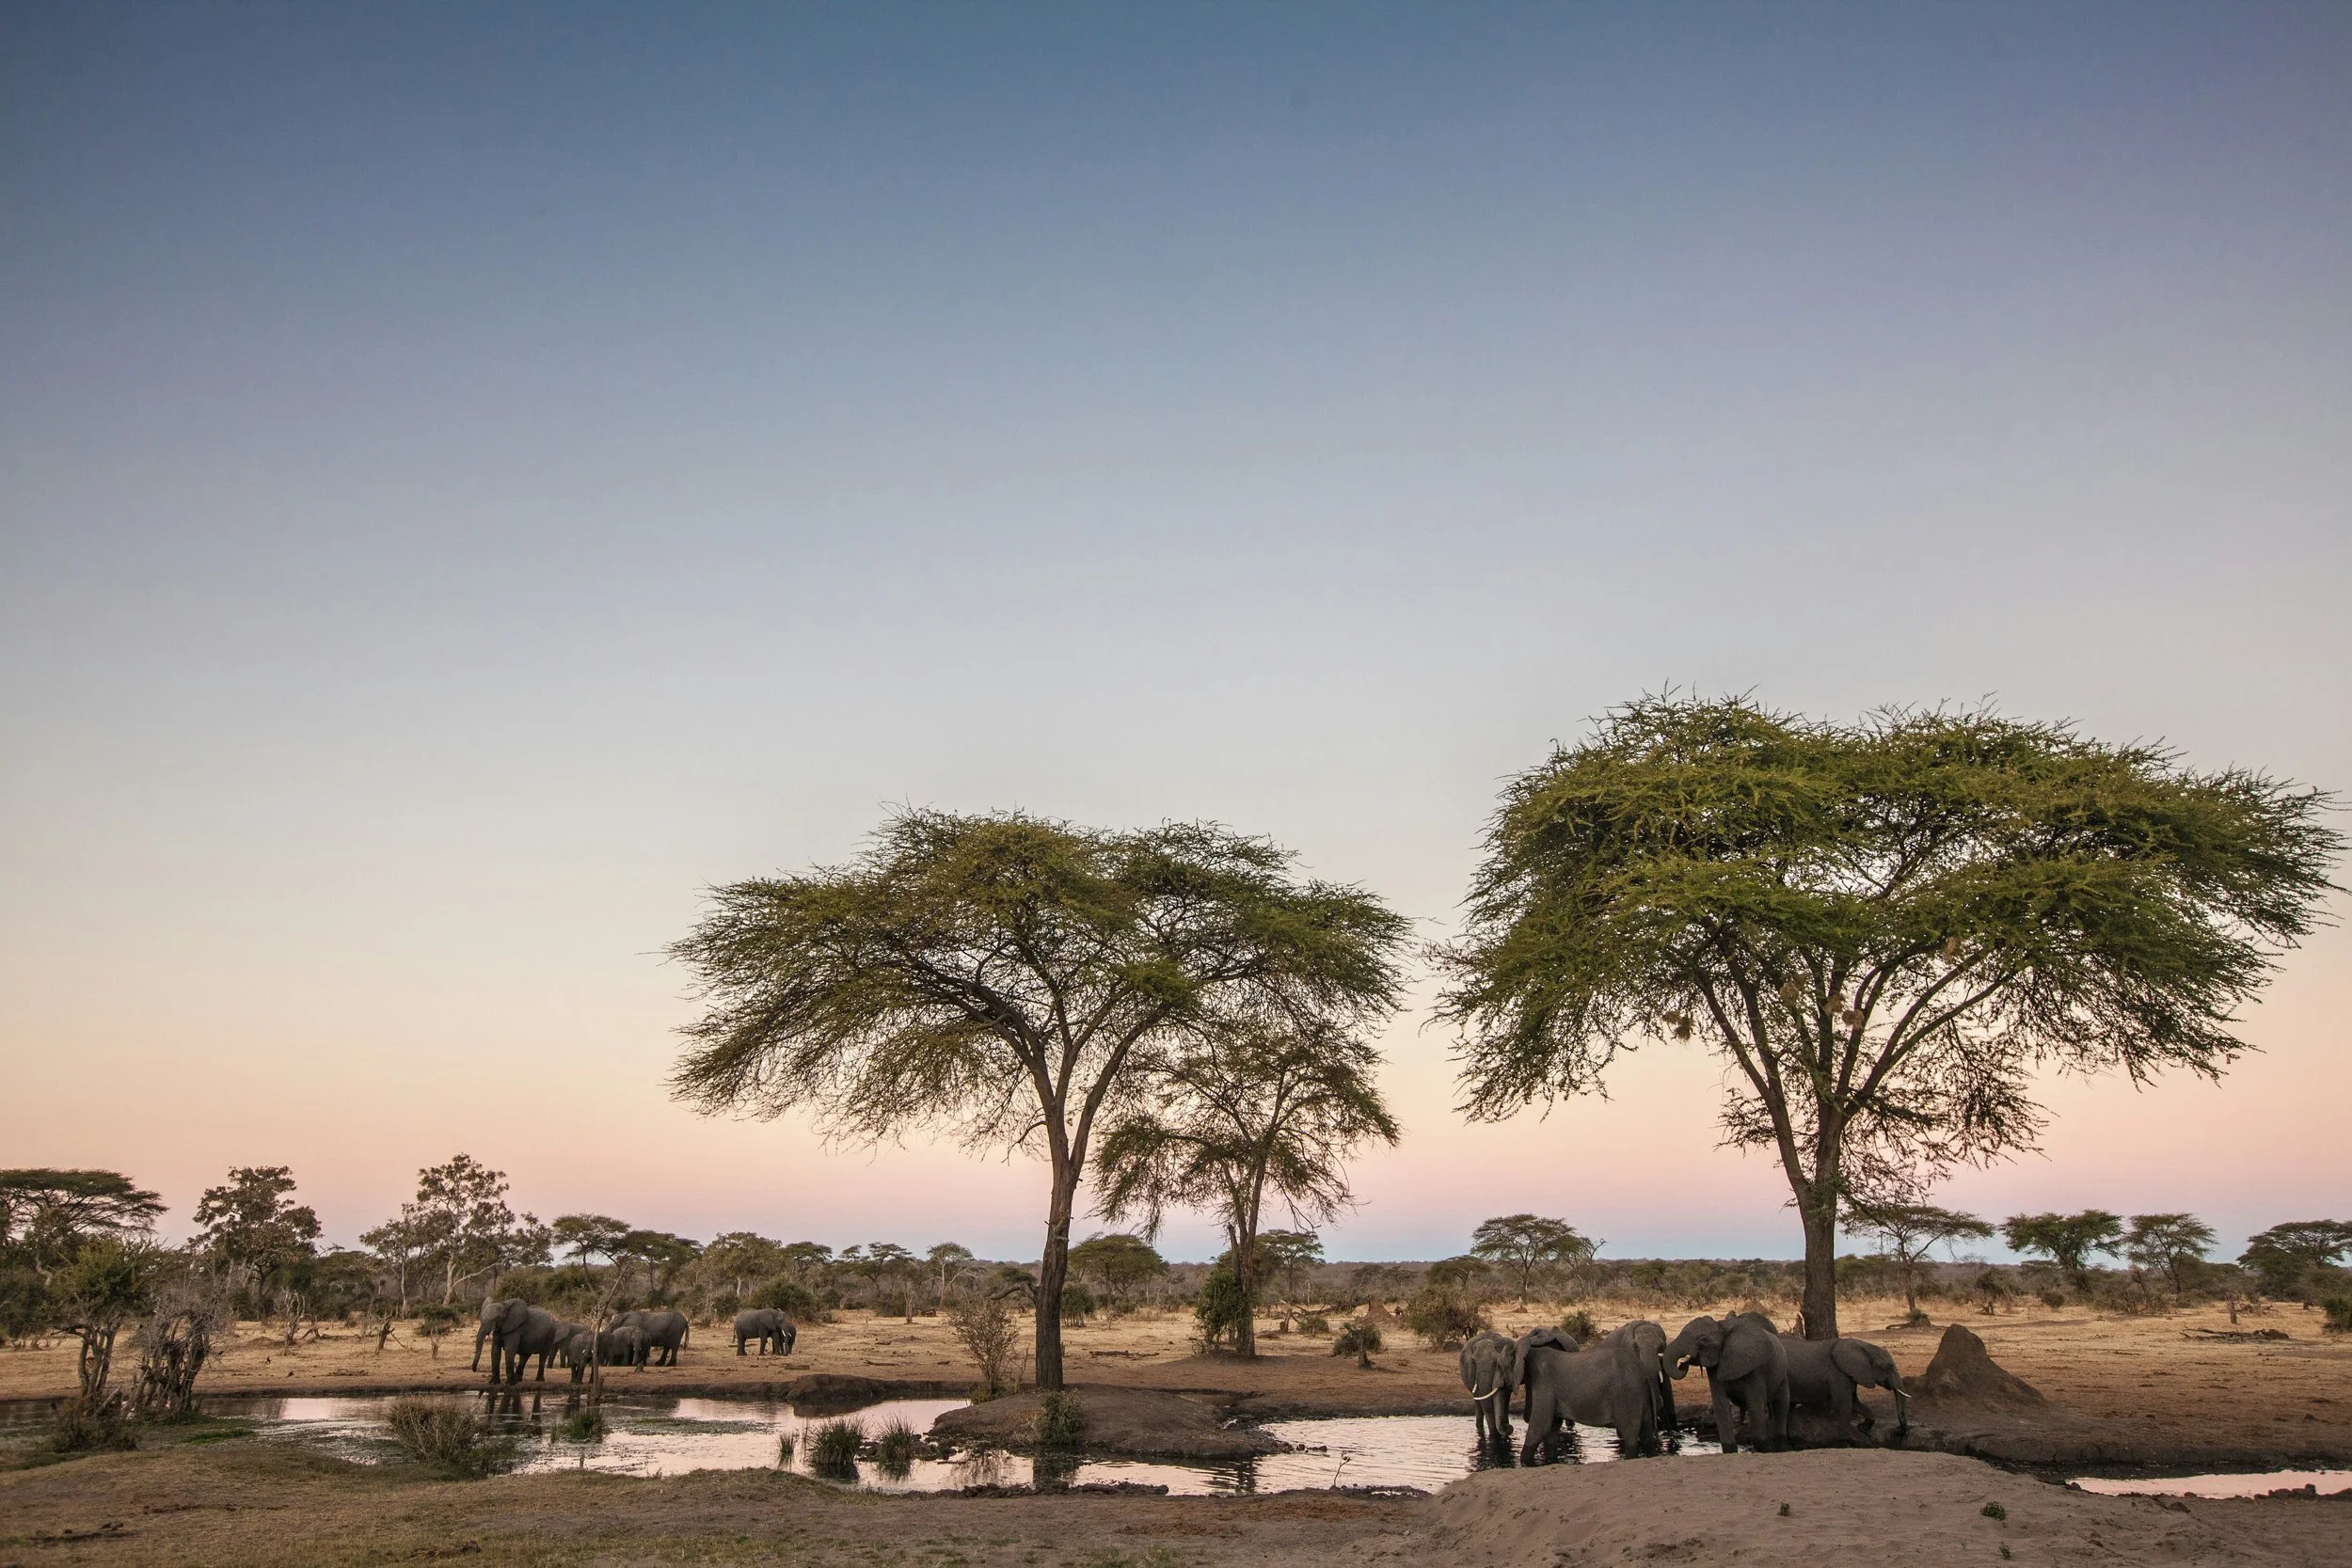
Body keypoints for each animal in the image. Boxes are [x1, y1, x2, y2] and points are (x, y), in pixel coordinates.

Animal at [1515, 1332, 1659, 1463]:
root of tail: (1644, 1372)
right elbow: (1552, 1426)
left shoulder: (1544, 1383)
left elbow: (1540, 1426)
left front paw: (1525, 1463)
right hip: (1638, 1394)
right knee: (1646, 1433)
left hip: (1627, 1394)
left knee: (1630, 1435)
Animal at [1664, 1312, 1790, 1452]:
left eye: (1703, 1340)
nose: (1683, 1363)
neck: (1723, 1328)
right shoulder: (1715, 1367)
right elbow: (1721, 1406)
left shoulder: (1755, 1368)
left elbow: (1755, 1405)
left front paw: (1764, 1450)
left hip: (1783, 1374)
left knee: (1781, 1406)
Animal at [1779, 1334, 1907, 1439]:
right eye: (1889, 1366)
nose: (1897, 1431)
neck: (1865, 1346)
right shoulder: (1837, 1373)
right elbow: (1842, 1404)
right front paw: (1845, 1442)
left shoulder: (1850, 1374)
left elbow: (1854, 1402)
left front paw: (1863, 1430)